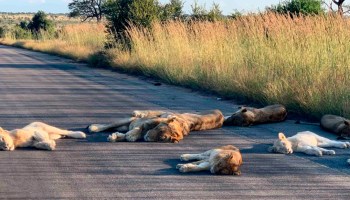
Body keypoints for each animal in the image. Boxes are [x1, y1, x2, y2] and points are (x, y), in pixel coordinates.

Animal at [87, 109, 224, 144]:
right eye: (160, 129)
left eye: (162, 139)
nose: (147, 138)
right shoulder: (150, 121)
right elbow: (139, 128)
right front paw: (132, 135)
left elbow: (125, 135)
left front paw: (117, 137)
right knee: (109, 124)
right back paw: (93, 127)